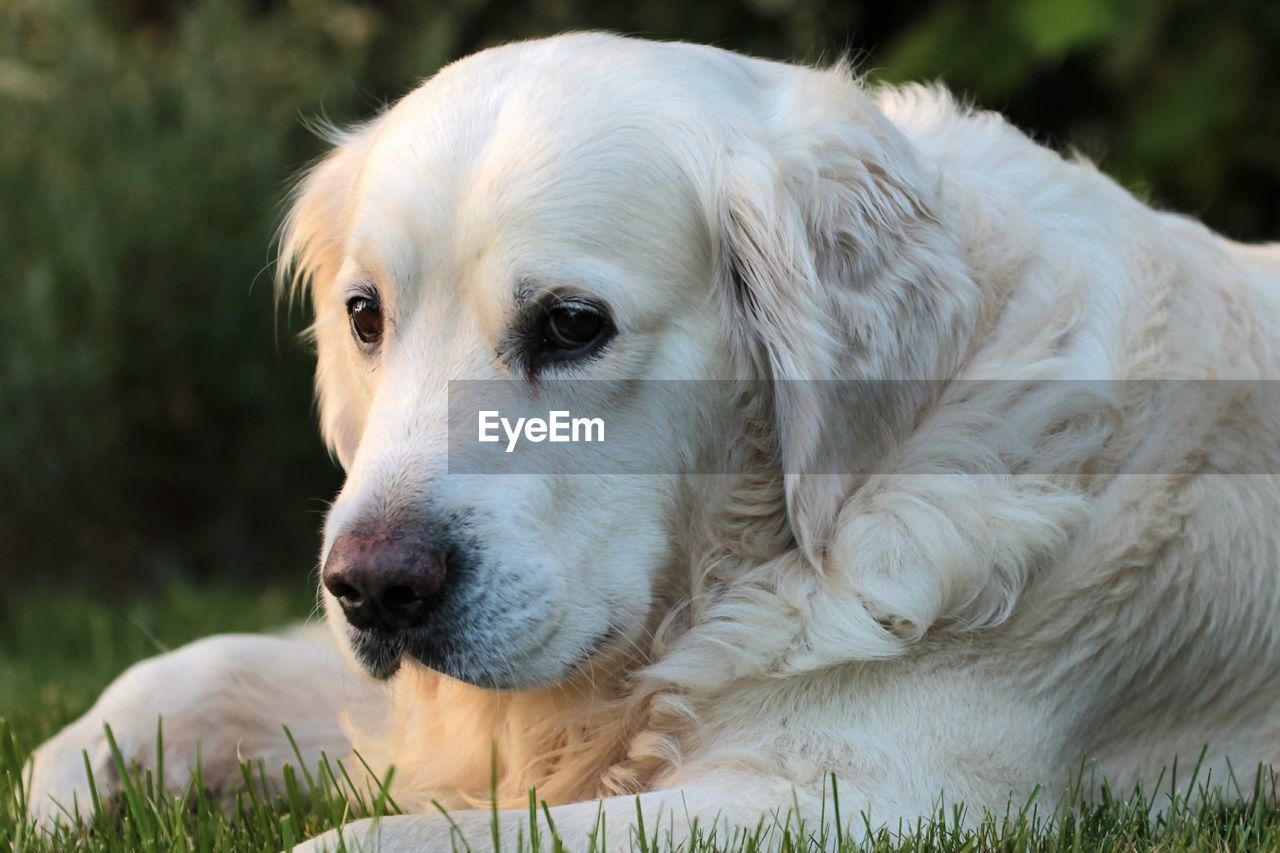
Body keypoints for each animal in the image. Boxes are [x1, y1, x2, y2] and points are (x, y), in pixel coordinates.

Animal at [22, 29, 1280, 845]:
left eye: (573, 324)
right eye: (364, 314)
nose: (374, 587)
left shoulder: (859, 794)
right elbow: (205, 660)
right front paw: (64, 783)